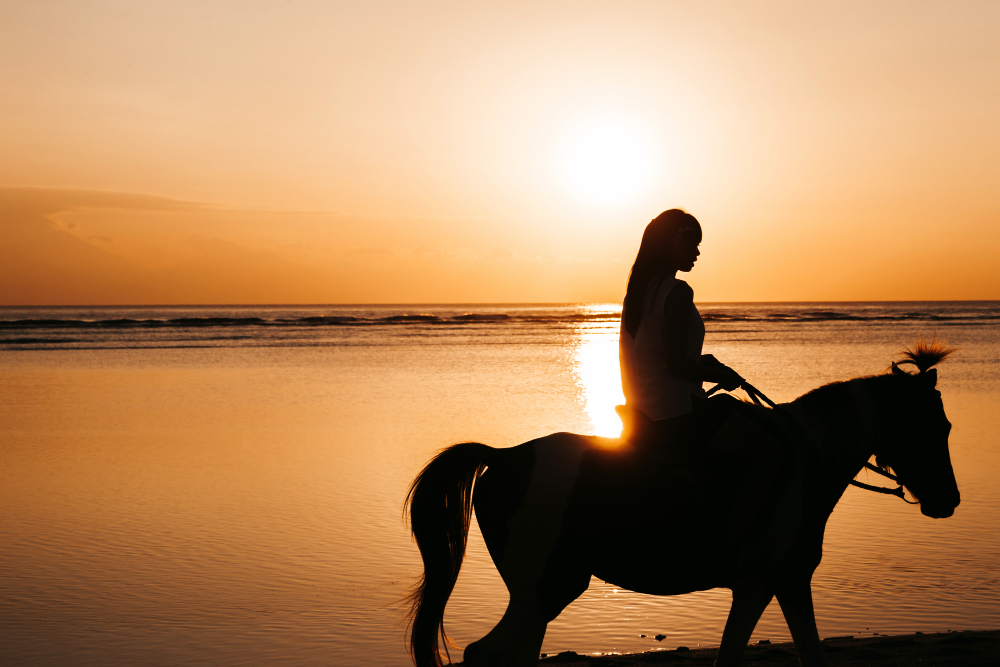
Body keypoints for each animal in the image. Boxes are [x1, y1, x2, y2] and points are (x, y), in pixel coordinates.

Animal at [406, 344, 960, 667]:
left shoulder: (780, 582)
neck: (807, 459)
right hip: (546, 588)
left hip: (540, 594)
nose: (949, 500)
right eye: (936, 426)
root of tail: (505, 456)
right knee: (489, 655)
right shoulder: (766, 582)